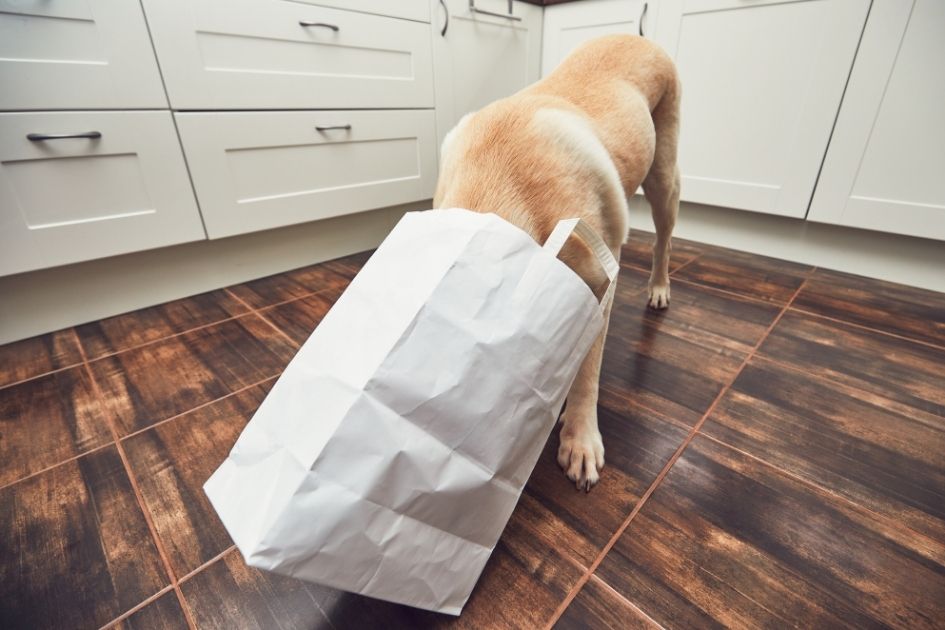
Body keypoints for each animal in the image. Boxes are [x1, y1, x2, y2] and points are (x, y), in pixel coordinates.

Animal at [432, 34, 684, 494]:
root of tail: (637, 36)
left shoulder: (598, 284)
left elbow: (588, 372)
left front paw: (580, 439)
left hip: (662, 174)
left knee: (664, 240)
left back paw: (659, 289)